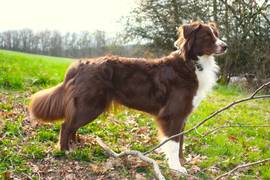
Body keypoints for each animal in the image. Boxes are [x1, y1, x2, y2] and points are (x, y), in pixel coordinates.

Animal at [29, 21, 227, 174]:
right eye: (207, 36)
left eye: (216, 34)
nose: (225, 46)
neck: (192, 64)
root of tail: (81, 64)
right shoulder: (172, 114)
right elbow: (173, 143)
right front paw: (176, 168)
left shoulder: (182, 116)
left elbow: (180, 143)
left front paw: (181, 163)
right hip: (90, 105)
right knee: (66, 125)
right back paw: (65, 151)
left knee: (72, 126)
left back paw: (75, 146)